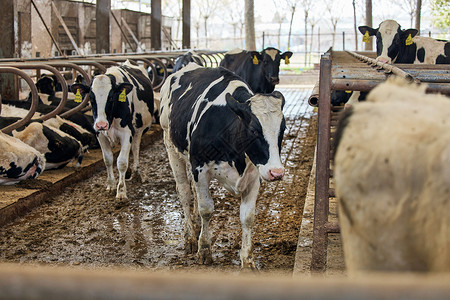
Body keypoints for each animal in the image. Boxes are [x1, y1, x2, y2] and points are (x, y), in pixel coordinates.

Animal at [71, 60, 154, 199]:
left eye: (111, 98)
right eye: (91, 98)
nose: (101, 124)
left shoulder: (127, 133)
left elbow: (122, 162)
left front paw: (121, 192)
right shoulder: (100, 135)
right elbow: (108, 159)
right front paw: (111, 185)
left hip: (138, 129)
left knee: (135, 148)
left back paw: (136, 172)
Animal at [160, 63, 284, 270]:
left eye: (283, 129)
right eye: (253, 130)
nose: (276, 172)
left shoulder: (254, 175)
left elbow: (247, 217)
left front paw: (247, 260)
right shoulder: (200, 168)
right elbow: (206, 209)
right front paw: (204, 249)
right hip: (171, 146)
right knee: (185, 192)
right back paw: (190, 237)